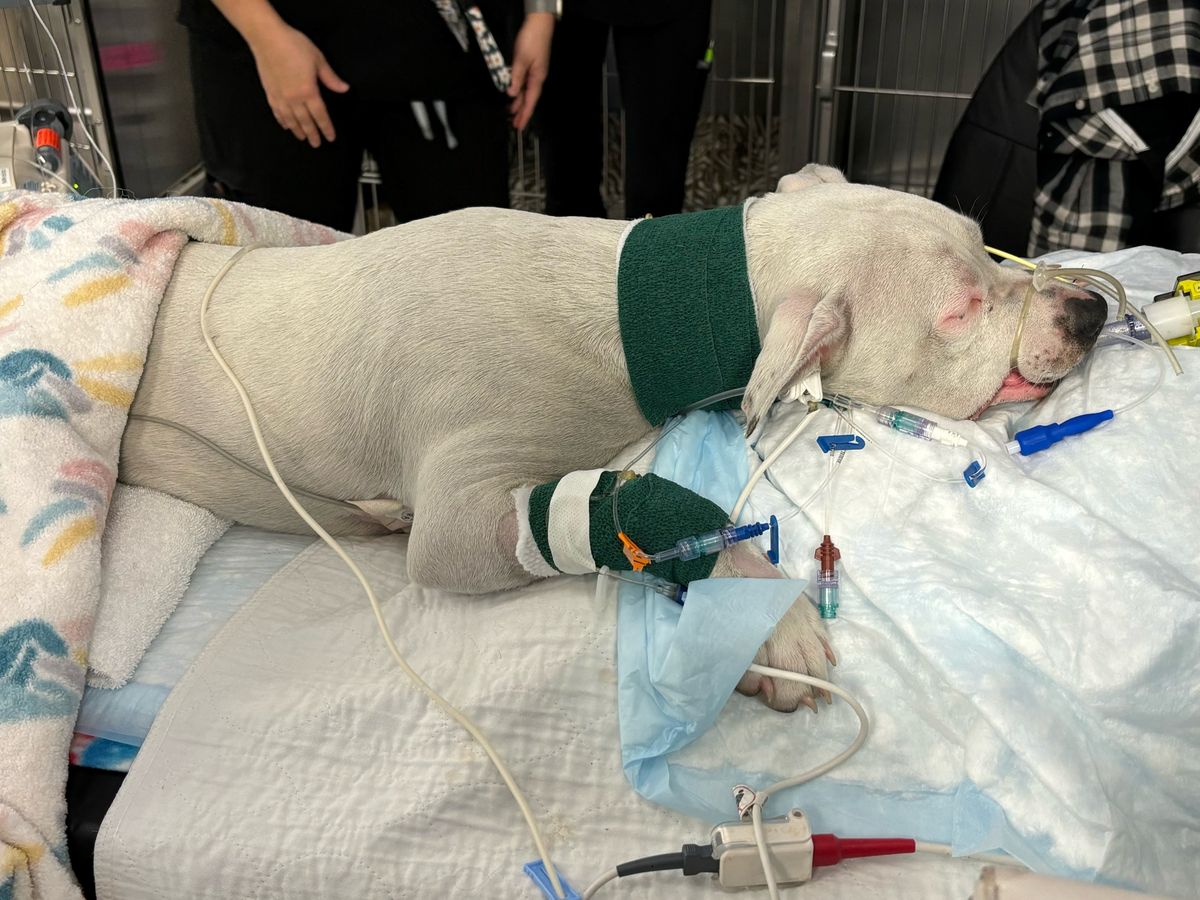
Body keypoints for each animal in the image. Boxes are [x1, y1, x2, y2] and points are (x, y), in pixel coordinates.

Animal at [118, 165, 1107, 712]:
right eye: (961, 311)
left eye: (986, 243)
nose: (1089, 310)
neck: (628, 315)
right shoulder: (460, 512)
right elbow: (623, 501)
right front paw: (769, 619)